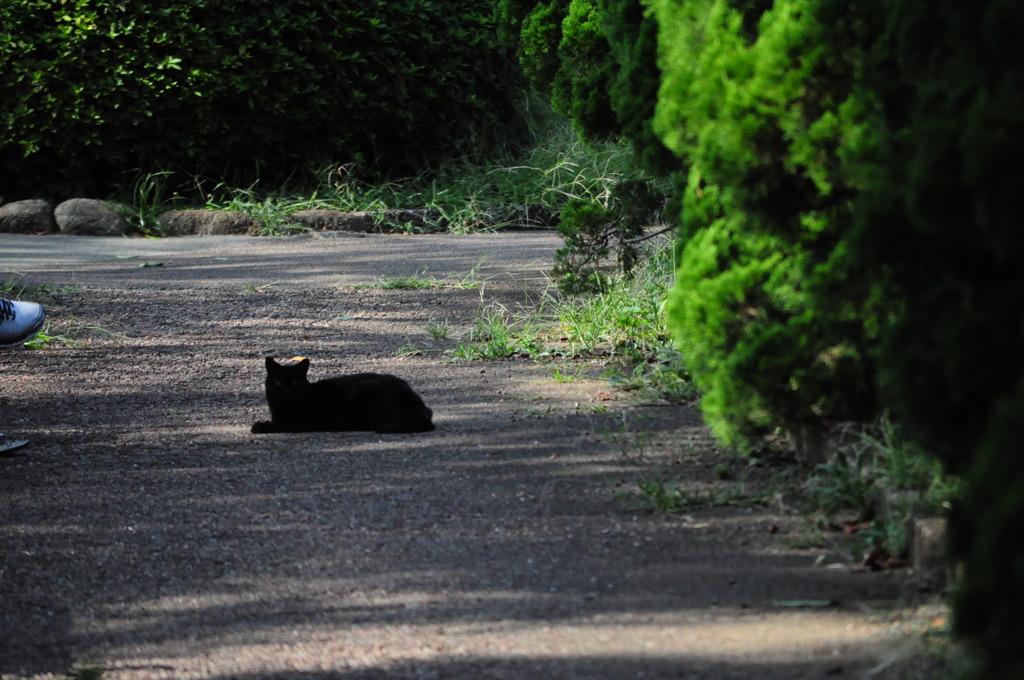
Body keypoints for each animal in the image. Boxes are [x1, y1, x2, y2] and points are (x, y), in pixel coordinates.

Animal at [254, 356, 436, 436]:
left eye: (294, 383)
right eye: (278, 383)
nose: (286, 391)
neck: (284, 409)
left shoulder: (302, 423)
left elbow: (283, 426)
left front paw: (260, 426)